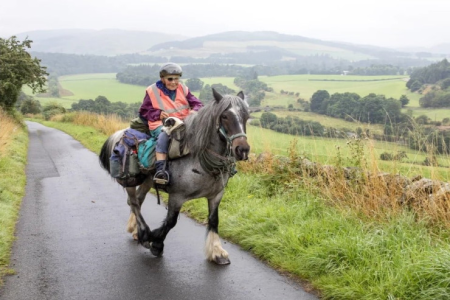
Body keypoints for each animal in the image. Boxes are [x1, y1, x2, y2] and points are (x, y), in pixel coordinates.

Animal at [99, 89, 251, 264]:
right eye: (225, 116)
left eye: (246, 116)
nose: (243, 150)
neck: (198, 159)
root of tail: (120, 134)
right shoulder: (177, 197)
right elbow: (170, 222)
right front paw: (156, 242)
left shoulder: (216, 195)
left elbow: (214, 220)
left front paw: (217, 252)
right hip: (130, 180)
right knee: (134, 203)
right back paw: (144, 233)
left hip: (147, 181)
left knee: (138, 199)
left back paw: (137, 231)